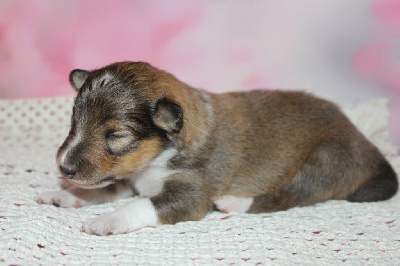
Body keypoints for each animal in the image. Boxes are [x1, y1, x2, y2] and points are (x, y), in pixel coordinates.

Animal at [36, 61, 396, 235]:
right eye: (74, 121)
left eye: (116, 135)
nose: (64, 168)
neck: (158, 158)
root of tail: (364, 142)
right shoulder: (130, 175)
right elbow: (105, 188)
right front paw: (66, 193)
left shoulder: (192, 192)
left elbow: (141, 205)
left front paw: (105, 221)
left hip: (324, 160)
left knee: (287, 196)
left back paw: (234, 202)